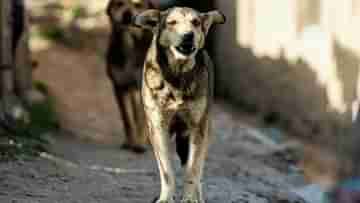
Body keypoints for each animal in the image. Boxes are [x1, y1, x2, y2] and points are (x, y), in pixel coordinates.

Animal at [105, 0, 153, 153]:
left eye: (138, 5)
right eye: (119, 3)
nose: (127, 14)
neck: (129, 43)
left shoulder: (143, 88)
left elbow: (141, 120)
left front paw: (139, 144)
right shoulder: (120, 86)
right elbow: (127, 119)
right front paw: (130, 142)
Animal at [135, 6, 225, 203]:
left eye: (195, 22)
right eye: (172, 22)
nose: (188, 35)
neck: (177, 76)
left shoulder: (197, 128)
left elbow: (193, 169)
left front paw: (190, 199)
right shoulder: (158, 127)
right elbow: (167, 171)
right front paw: (166, 198)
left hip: (202, 131)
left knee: (197, 169)